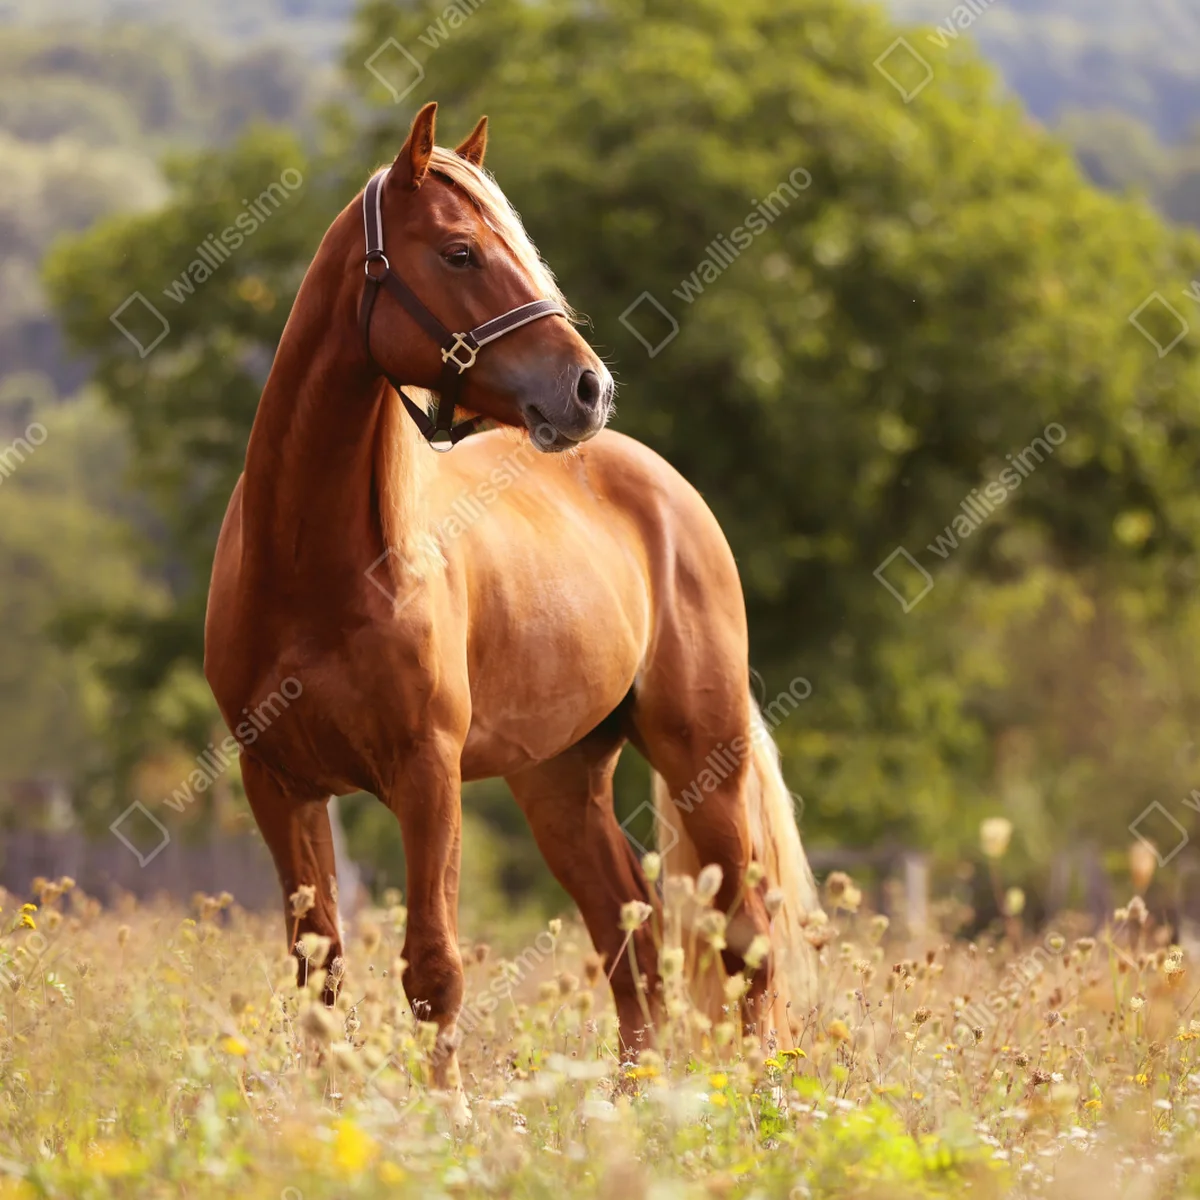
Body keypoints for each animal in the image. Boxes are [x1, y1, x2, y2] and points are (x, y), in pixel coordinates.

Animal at [204, 101, 819, 1095]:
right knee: (631, 939)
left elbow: (432, 968)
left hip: (703, 759)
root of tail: (666, 488)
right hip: (561, 781)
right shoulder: (280, 784)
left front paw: (446, 1116)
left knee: (745, 940)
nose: (589, 388)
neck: (315, 572)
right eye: (459, 252)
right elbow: (318, 972)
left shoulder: (426, 774)